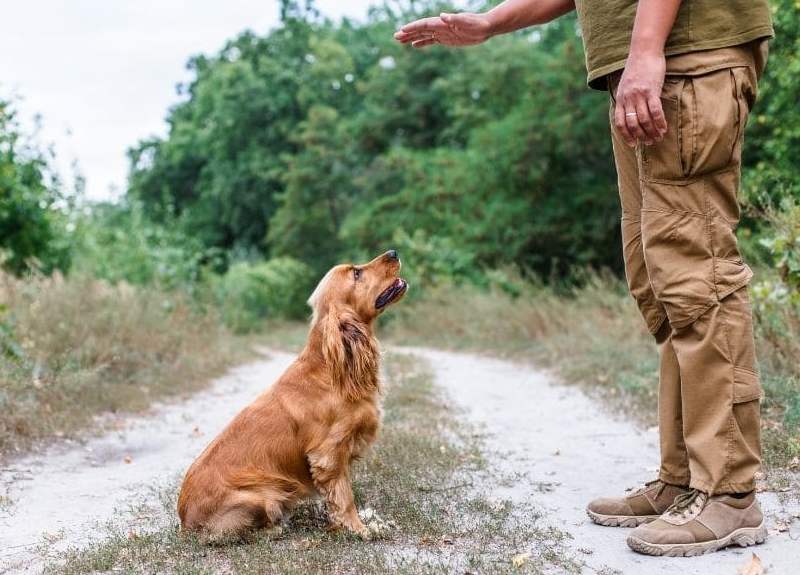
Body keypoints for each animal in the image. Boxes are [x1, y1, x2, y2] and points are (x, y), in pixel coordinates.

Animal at [179, 250, 410, 544]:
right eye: (356, 273)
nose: (393, 252)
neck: (329, 368)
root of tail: (185, 522)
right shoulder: (328, 454)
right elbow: (344, 497)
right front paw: (358, 528)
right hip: (267, 491)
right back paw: (277, 527)